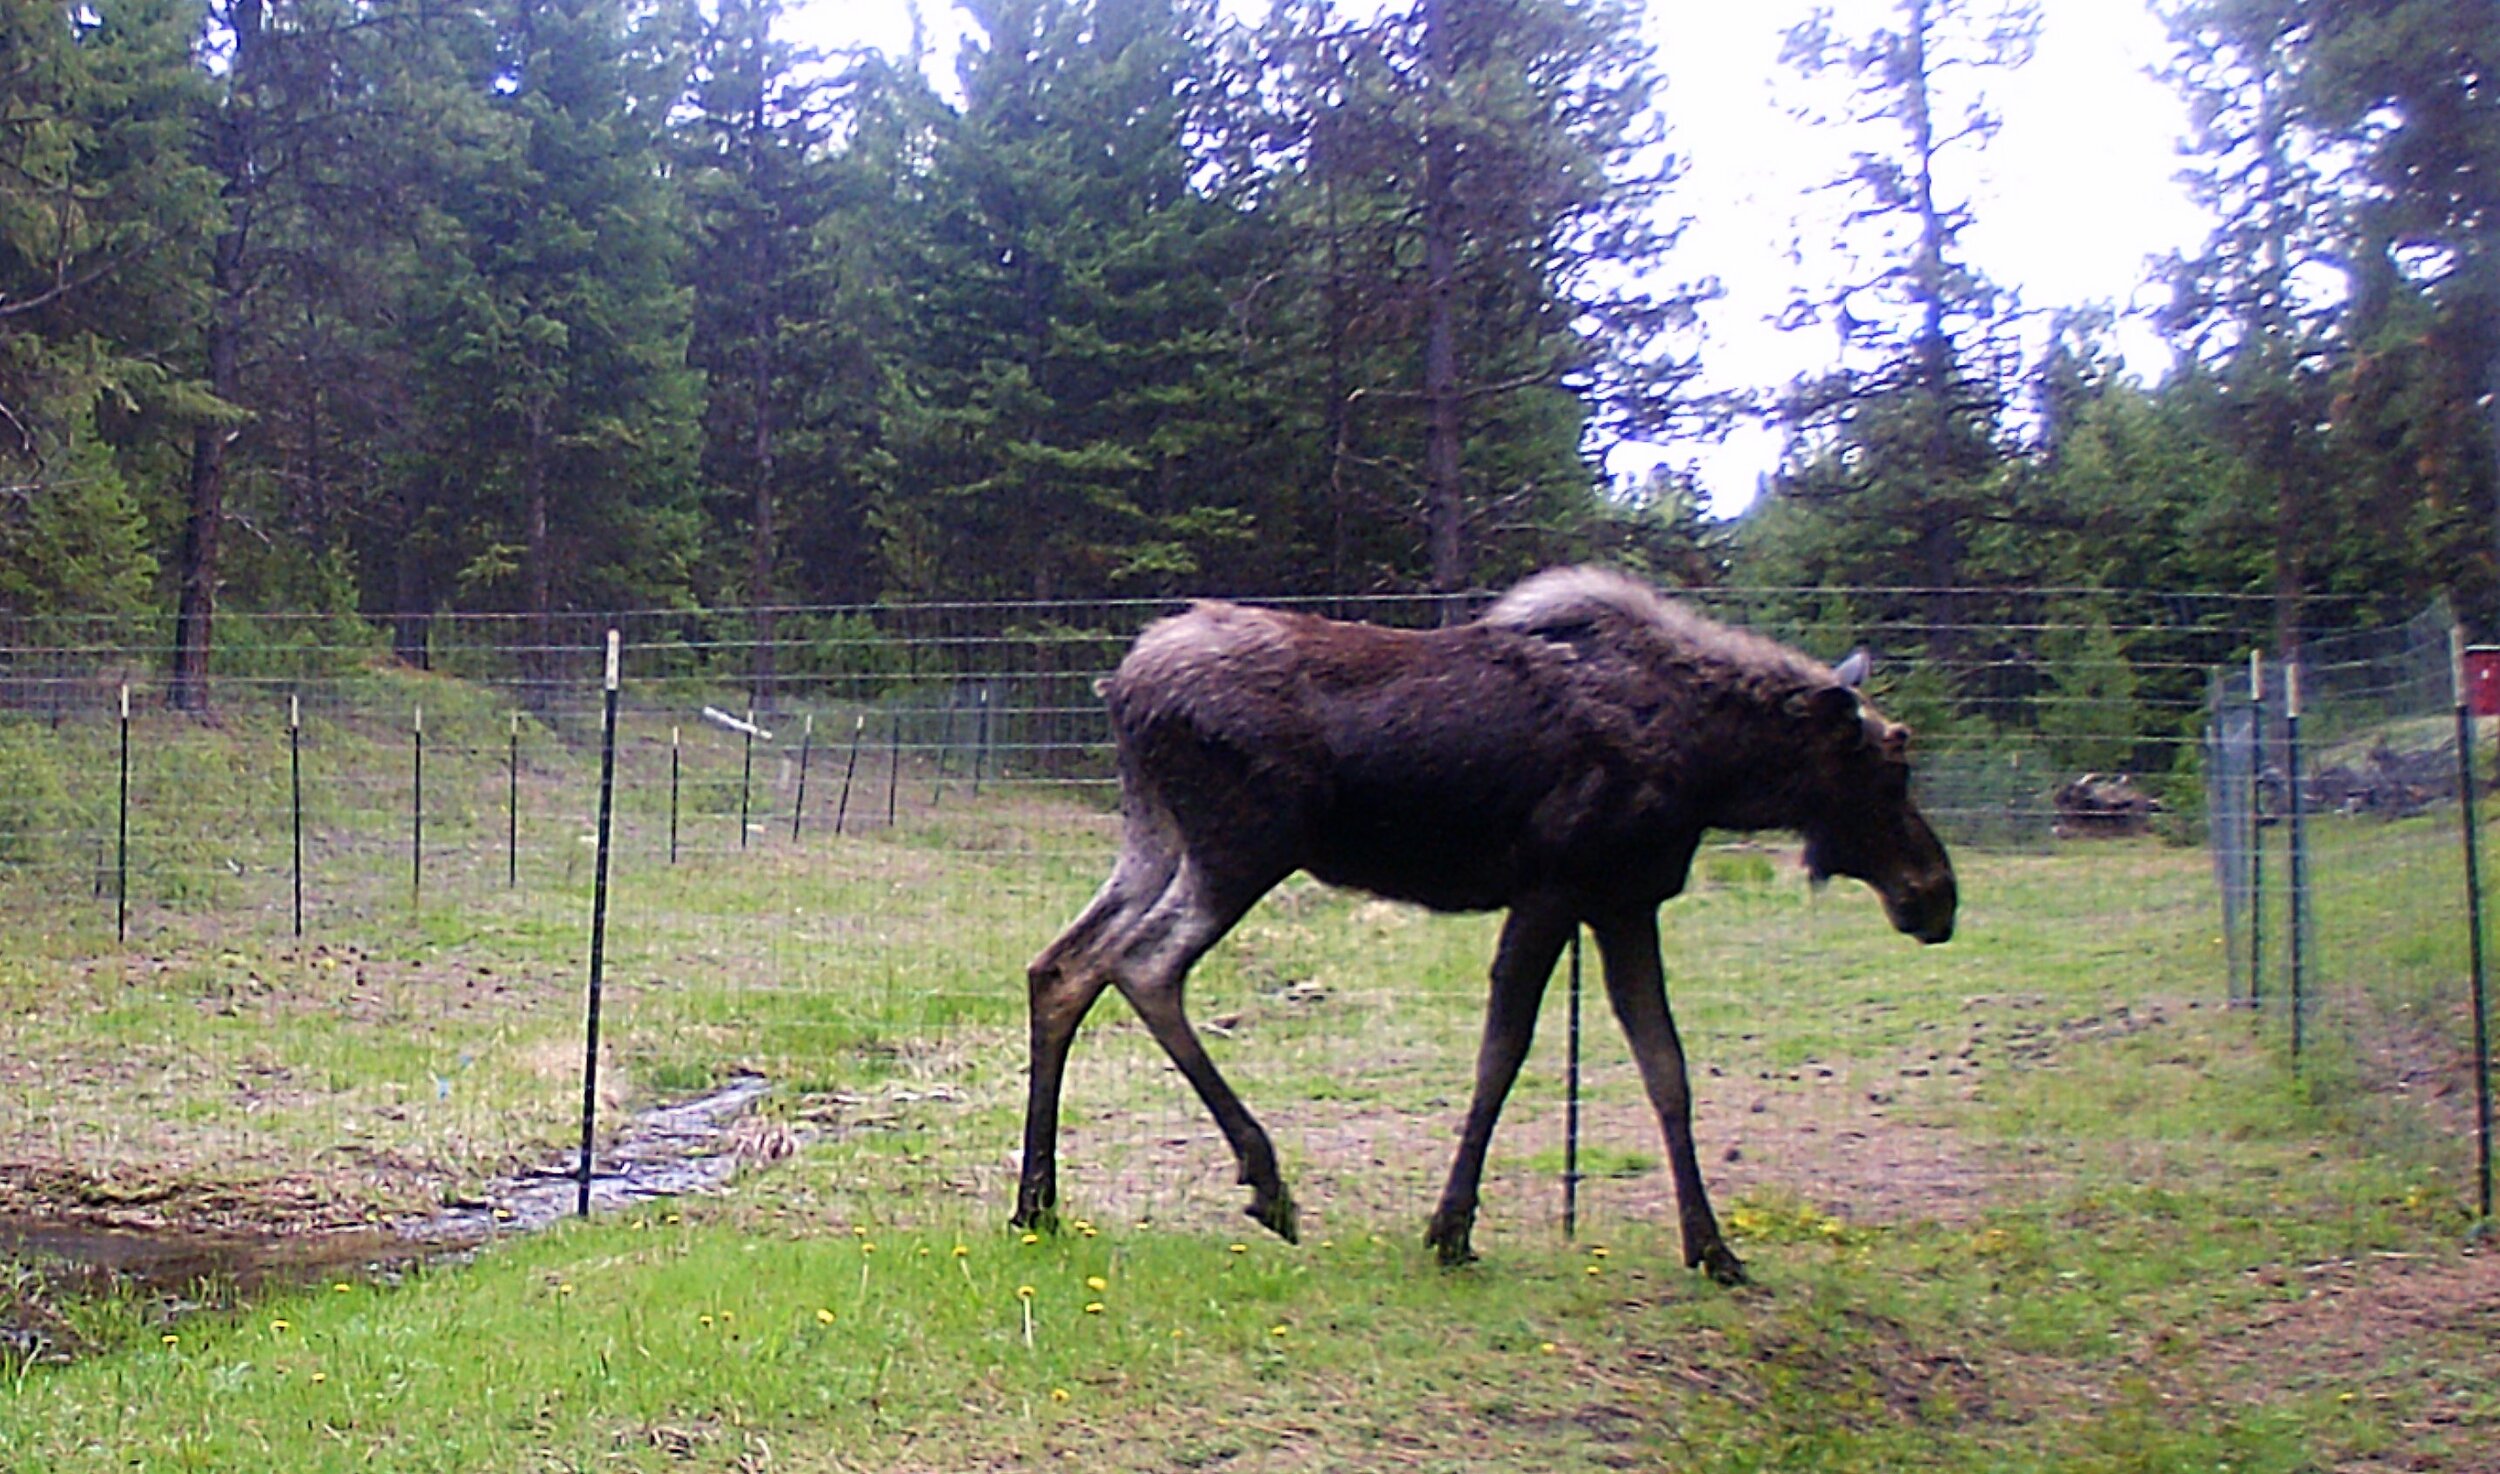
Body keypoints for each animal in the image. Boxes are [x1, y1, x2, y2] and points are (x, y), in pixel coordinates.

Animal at [1010, 572, 1950, 1289]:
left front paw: (1714, 1249)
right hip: (1243, 844)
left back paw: (1038, 1204)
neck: (1717, 770)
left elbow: (1666, 1069)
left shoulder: (1622, 902)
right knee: (1143, 964)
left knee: (1063, 965)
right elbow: (1504, 1053)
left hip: (1156, 837)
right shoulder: (1555, 889)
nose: (1937, 897)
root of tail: (1122, 690)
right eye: (1889, 766)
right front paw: (1451, 1229)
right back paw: (1266, 1182)